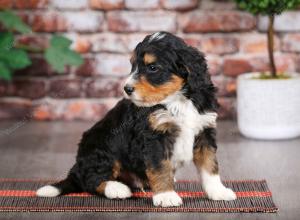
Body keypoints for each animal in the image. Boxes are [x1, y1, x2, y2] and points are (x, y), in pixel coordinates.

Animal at [36, 31, 236, 207]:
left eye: (152, 67)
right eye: (133, 66)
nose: (127, 89)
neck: (178, 99)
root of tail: (77, 166)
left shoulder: (204, 131)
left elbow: (210, 166)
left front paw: (218, 191)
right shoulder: (154, 137)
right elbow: (160, 167)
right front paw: (166, 195)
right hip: (103, 145)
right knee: (92, 179)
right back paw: (116, 188)